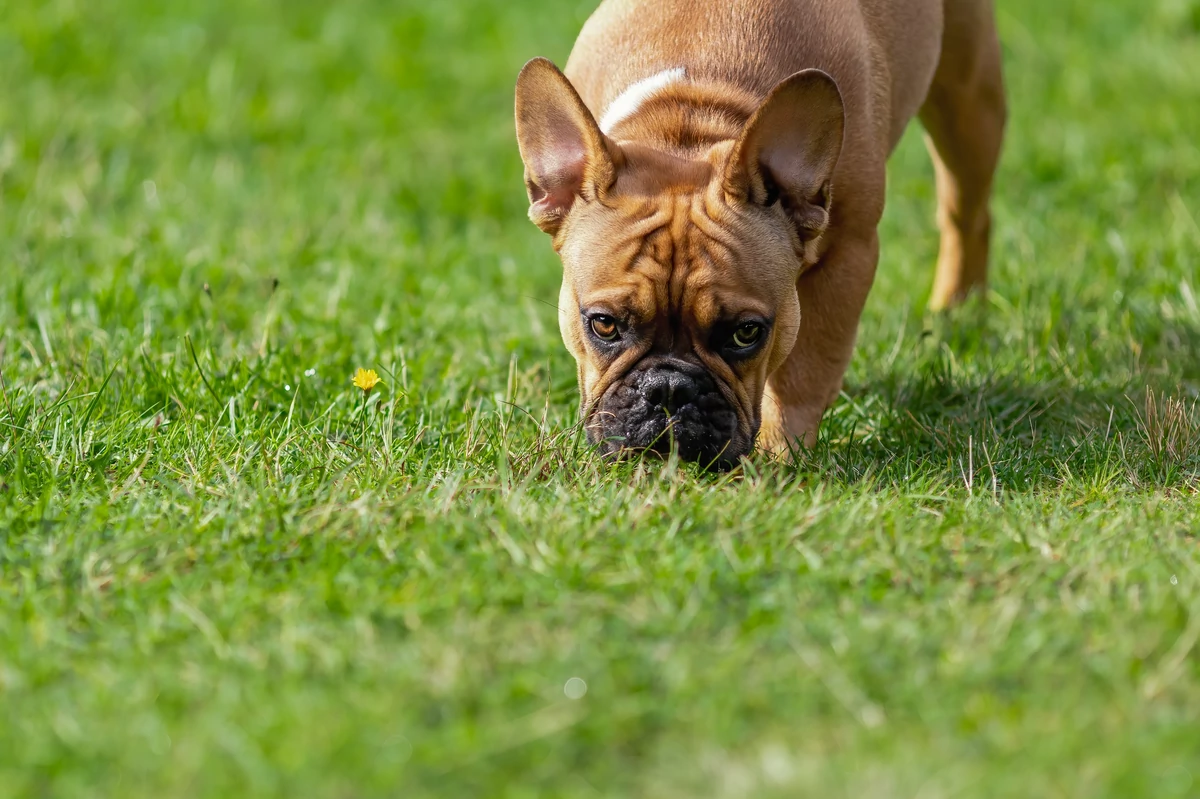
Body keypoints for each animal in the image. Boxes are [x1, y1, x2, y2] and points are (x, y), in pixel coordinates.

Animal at [513, 0, 1003, 467]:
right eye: (603, 324)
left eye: (746, 333)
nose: (668, 389)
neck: (690, 120)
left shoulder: (849, 254)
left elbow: (806, 371)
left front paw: (779, 458)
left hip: (968, 99)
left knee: (966, 211)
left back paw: (958, 307)